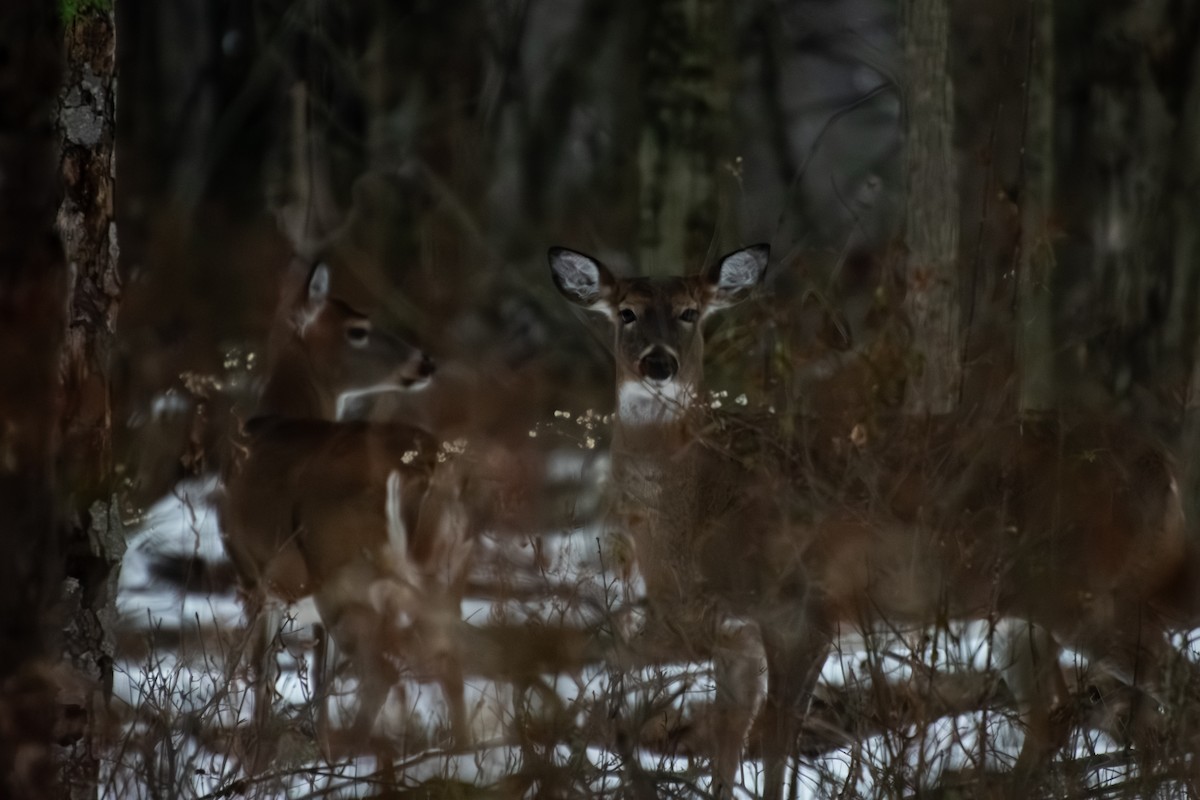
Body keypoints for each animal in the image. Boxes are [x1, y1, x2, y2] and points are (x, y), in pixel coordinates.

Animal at [220, 261, 474, 754]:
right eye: (359, 329)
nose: (425, 361)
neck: (275, 419)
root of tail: (423, 466)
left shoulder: (254, 574)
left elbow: (264, 671)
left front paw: (259, 750)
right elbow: (316, 675)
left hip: (345, 567)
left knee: (382, 671)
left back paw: (350, 755)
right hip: (446, 563)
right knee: (450, 659)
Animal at [549, 243, 1191, 799]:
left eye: (689, 312)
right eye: (626, 312)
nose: (659, 363)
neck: (701, 507)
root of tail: (1163, 464)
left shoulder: (801, 607)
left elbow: (777, 740)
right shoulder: (733, 634)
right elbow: (726, 748)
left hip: (1088, 587)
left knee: (1172, 678)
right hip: (1022, 610)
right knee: (1057, 711)